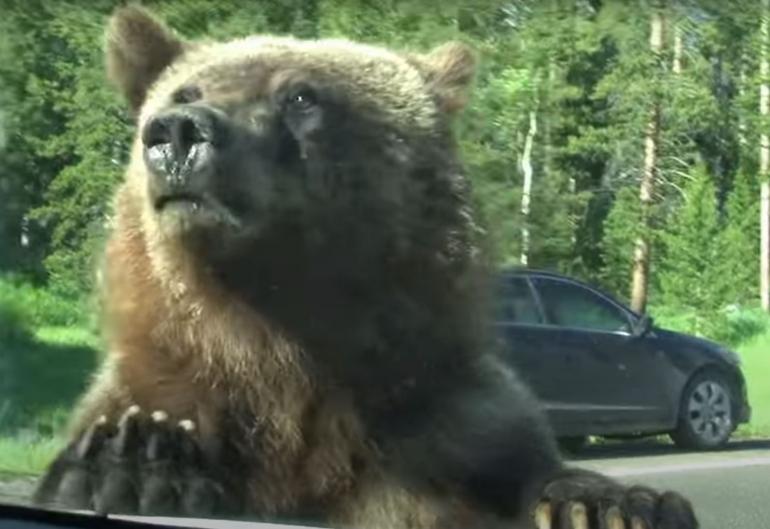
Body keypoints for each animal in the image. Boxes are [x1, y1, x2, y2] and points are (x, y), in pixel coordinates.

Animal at [34, 7, 696, 528]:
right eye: (183, 93)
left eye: (301, 96)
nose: (176, 132)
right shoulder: (163, 379)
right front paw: (134, 462)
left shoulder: (445, 422)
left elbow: (522, 462)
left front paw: (612, 505)